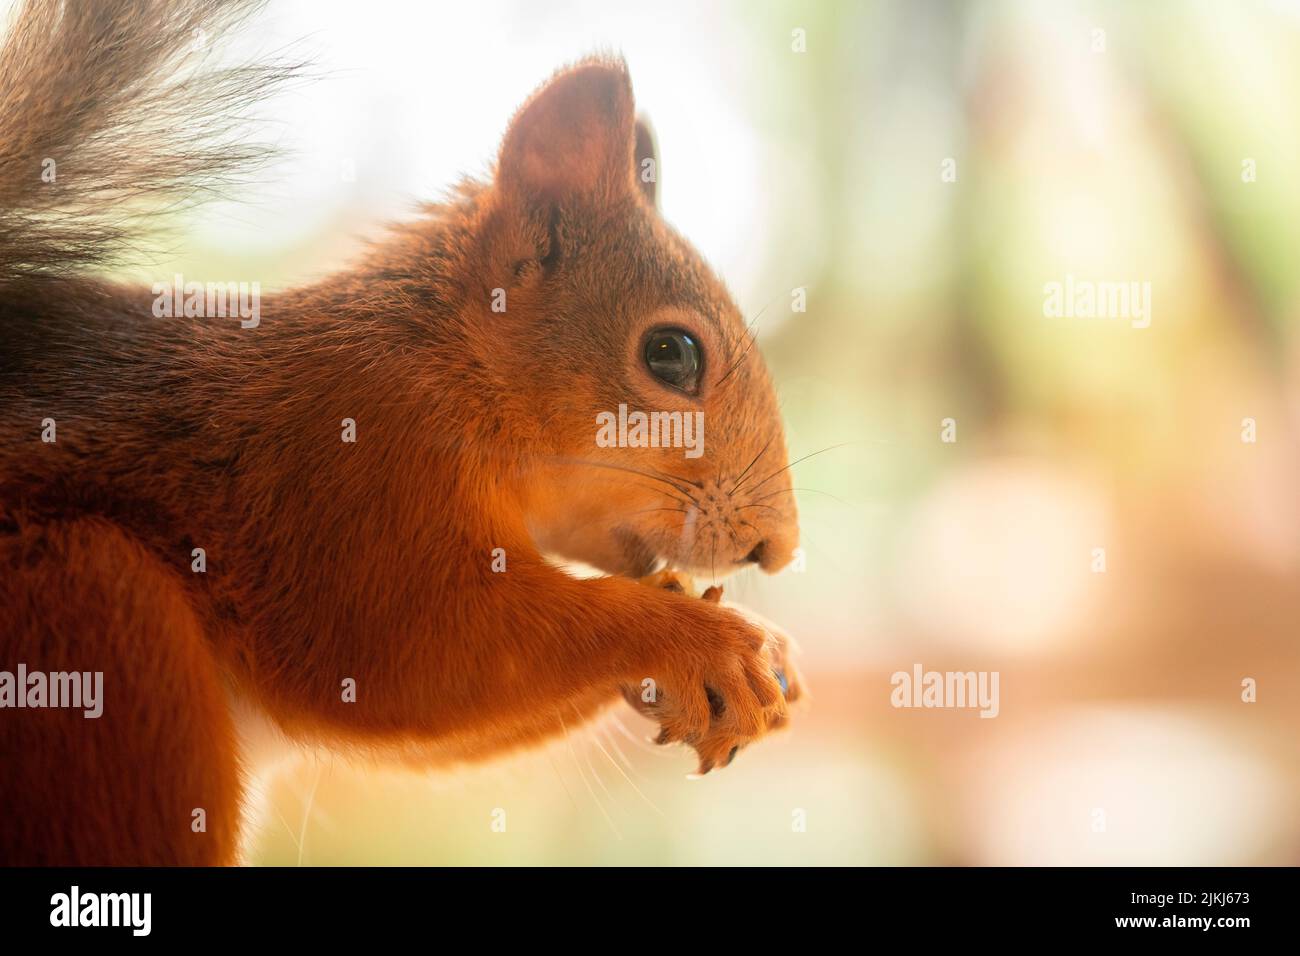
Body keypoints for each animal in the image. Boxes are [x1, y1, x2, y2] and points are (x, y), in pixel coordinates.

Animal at [0, 0, 800, 868]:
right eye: (671, 354)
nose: (777, 549)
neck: (451, 369)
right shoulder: (350, 465)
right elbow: (409, 655)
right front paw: (703, 640)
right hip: (93, 620)